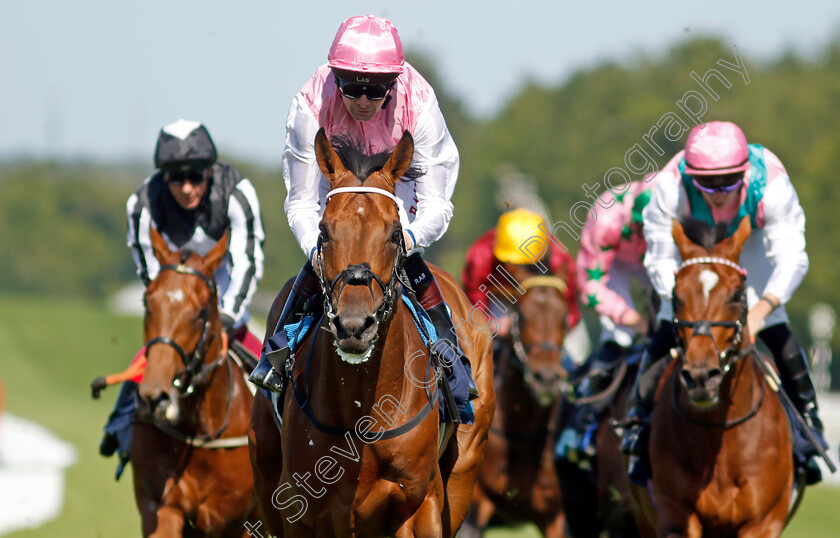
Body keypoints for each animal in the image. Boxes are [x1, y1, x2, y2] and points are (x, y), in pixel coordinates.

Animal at [246, 127, 496, 532]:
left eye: (395, 233)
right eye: (324, 231)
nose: (354, 326)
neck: (360, 404)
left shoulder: (421, 503)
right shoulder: (301, 510)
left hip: (465, 471)